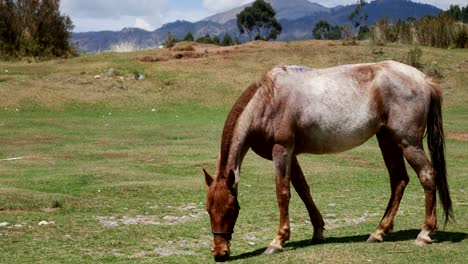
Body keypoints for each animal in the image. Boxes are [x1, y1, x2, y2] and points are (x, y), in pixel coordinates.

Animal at [203, 60, 452, 262]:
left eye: (232, 208)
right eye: (208, 209)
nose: (219, 253)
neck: (269, 100)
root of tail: (424, 79)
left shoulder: (282, 150)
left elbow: (283, 193)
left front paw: (277, 241)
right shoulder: (292, 155)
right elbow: (303, 190)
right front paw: (318, 231)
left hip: (408, 142)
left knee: (427, 175)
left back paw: (425, 233)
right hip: (388, 141)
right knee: (399, 180)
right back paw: (379, 232)